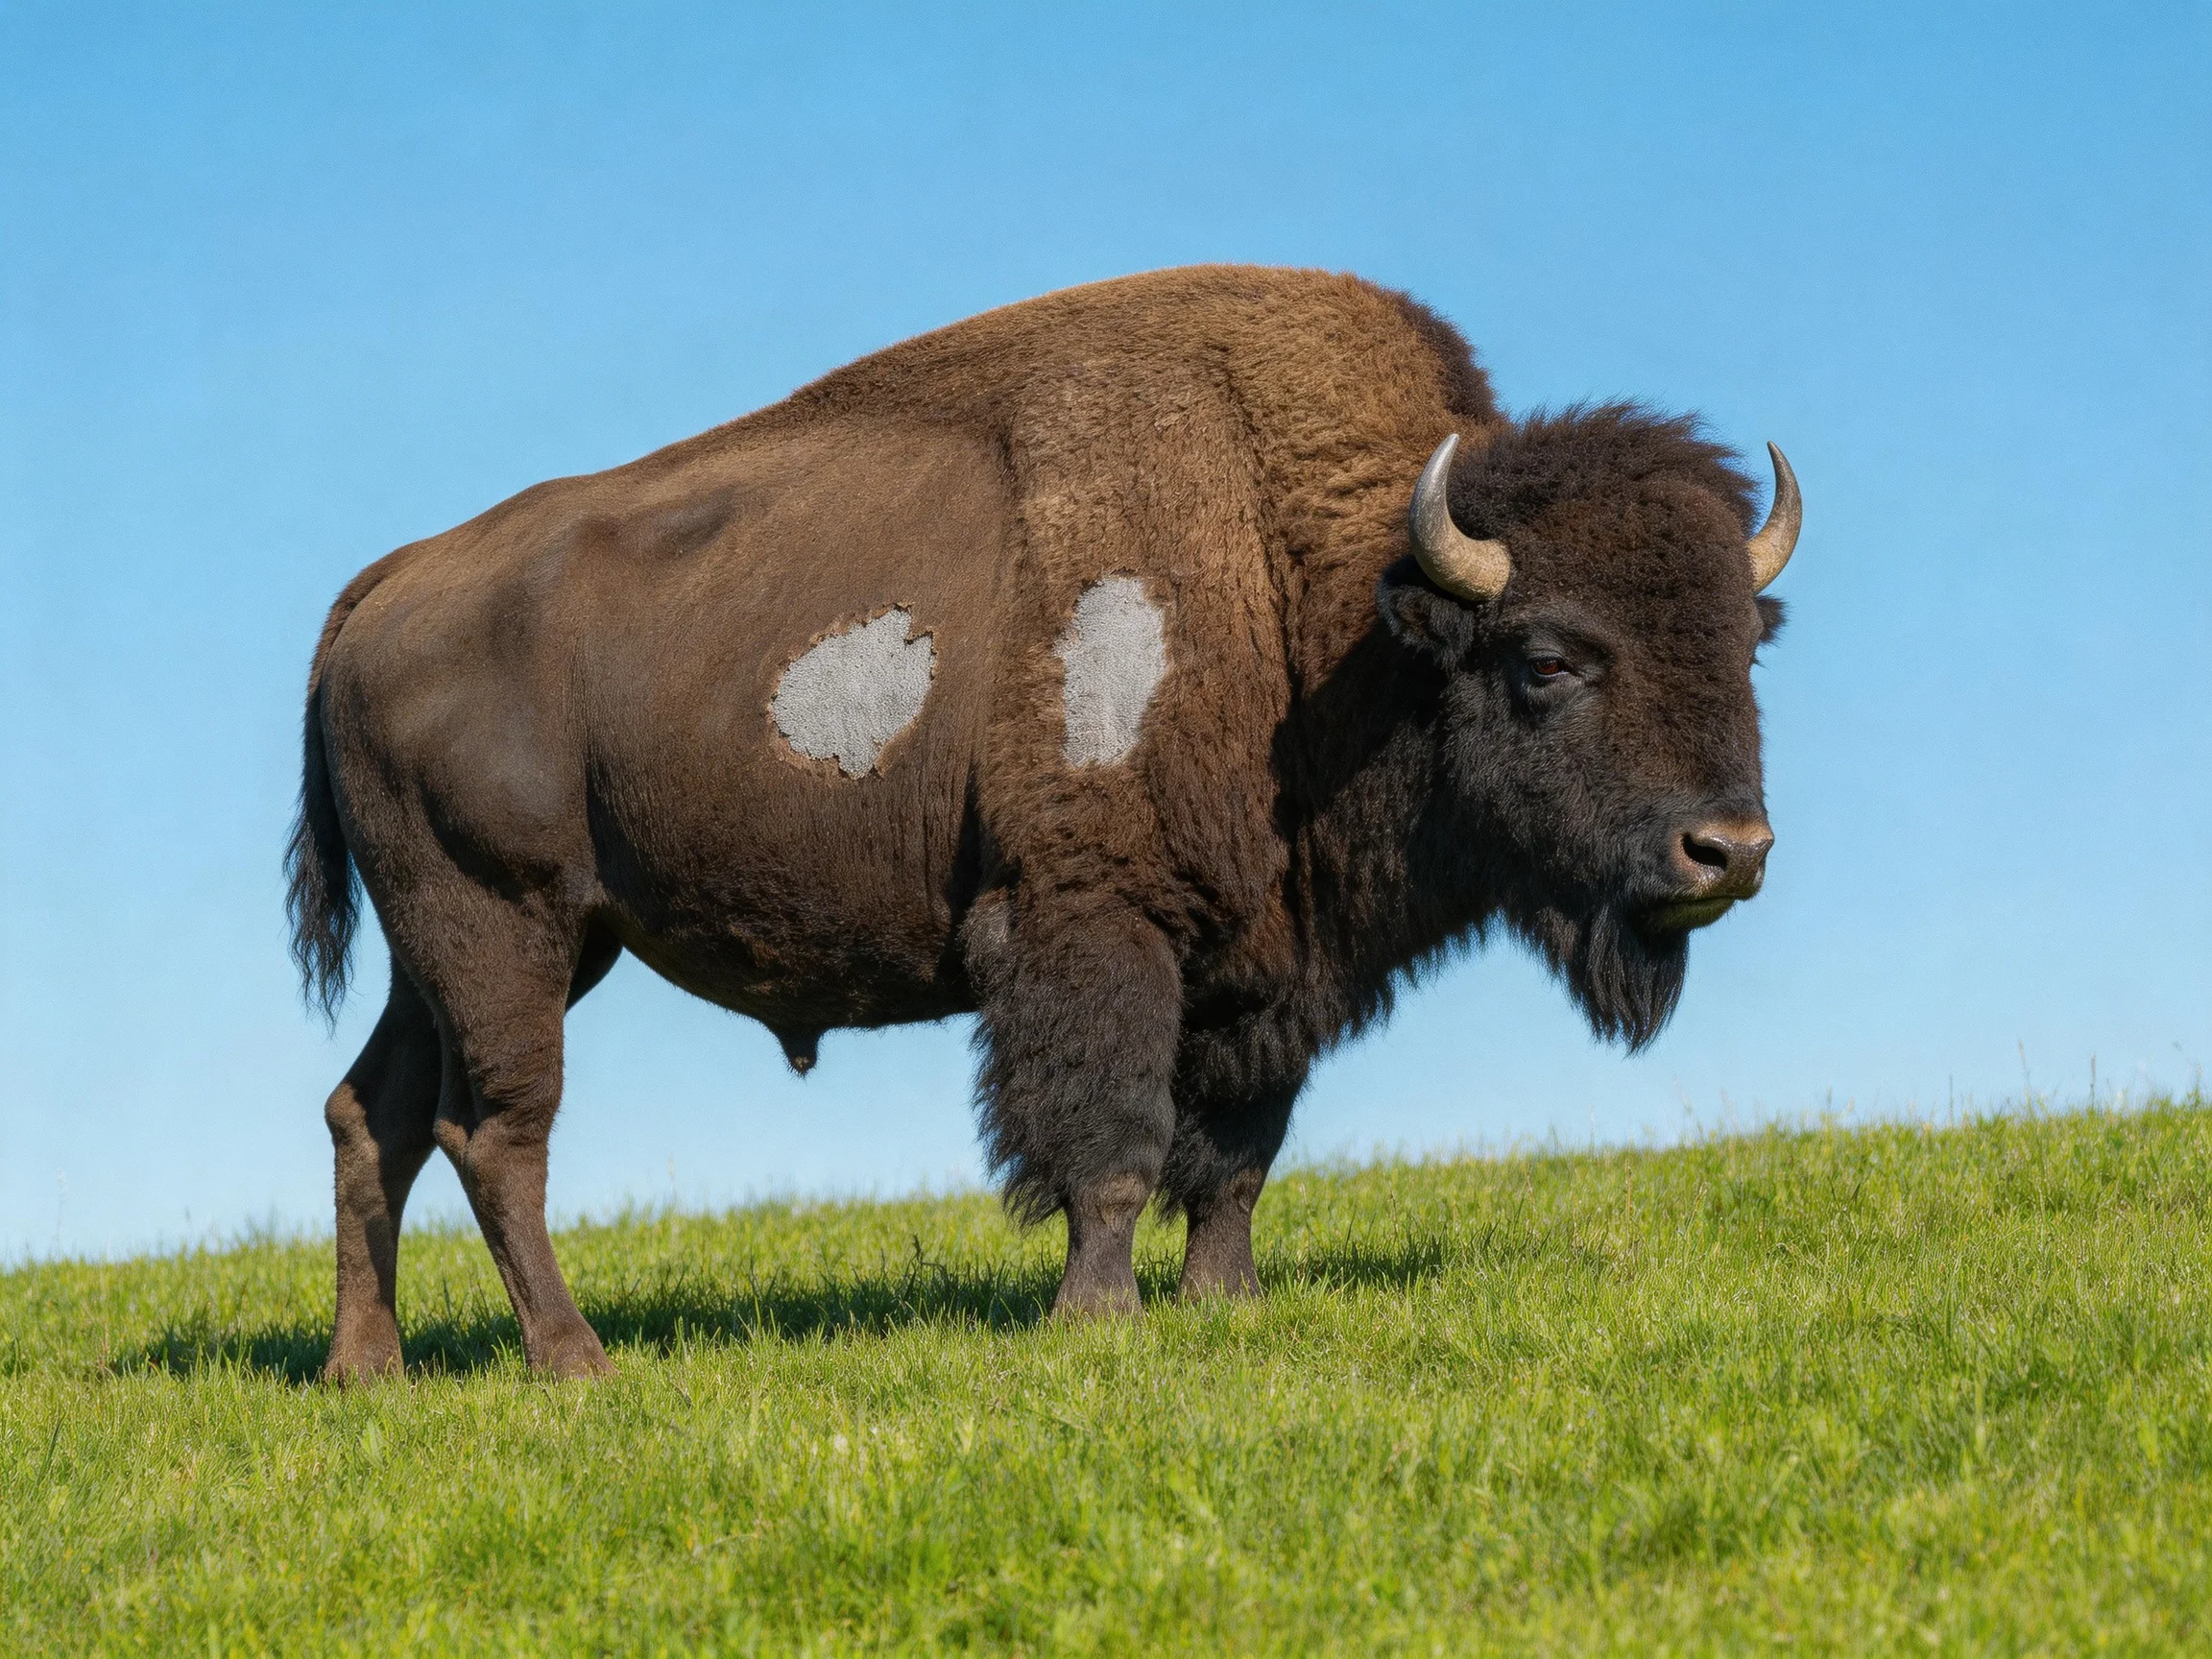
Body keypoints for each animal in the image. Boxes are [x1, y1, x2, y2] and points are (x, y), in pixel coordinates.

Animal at [288, 265, 1799, 1379]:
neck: (1310, 595)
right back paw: (575, 1361)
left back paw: (370, 1372)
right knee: (496, 1130)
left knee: (374, 1115)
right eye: (1547, 659)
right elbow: (1112, 1143)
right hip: (507, 928)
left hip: (465, 951)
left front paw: (1227, 1306)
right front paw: (1096, 1317)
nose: (1728, 853)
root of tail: (385, 588)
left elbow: (1234, 1157)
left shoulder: (1262, 969)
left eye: (1747, 644)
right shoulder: (1094, 925)